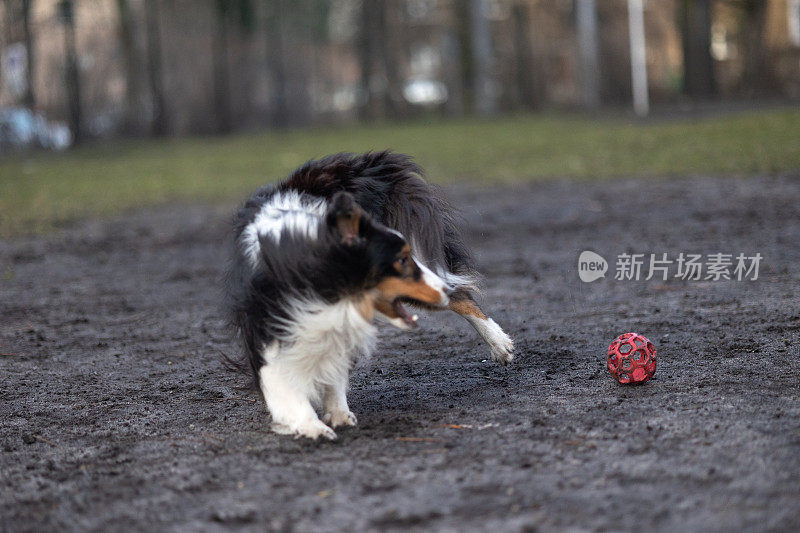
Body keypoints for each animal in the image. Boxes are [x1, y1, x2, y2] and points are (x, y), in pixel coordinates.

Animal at [225, 151, 512, 440]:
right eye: (401, 260)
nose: (444, 287)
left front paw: (335, 413)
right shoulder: (267, 323)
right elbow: (280, 378)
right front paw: (310, 423)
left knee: (462, 297)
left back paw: (500, 344)